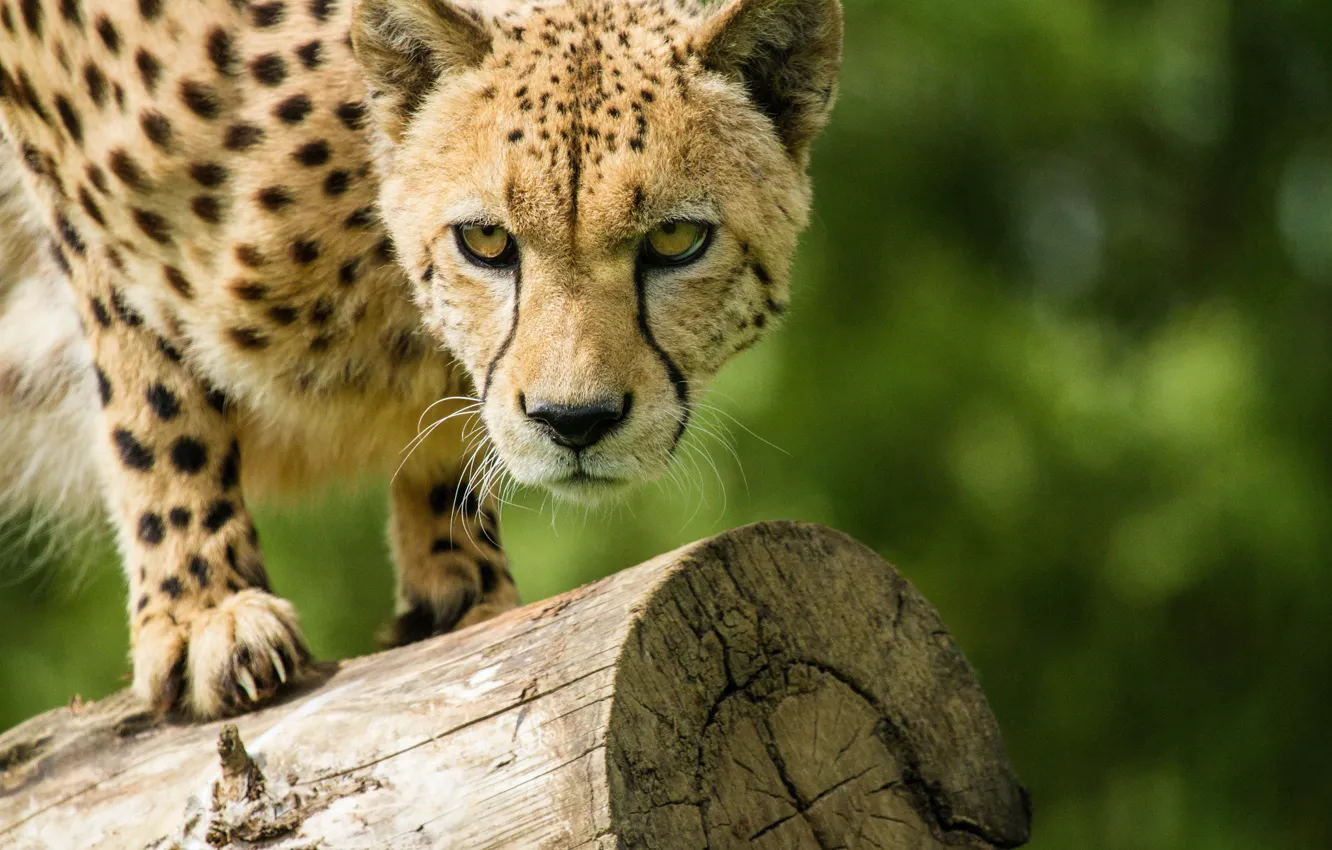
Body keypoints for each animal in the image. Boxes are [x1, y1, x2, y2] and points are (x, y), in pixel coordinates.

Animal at [0, 0, 843, 719]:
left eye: (675, 239)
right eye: (486, 240)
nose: (574, 422)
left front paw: (462, 588)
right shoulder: (67, 175)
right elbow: (153, 398)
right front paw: (203, 609)